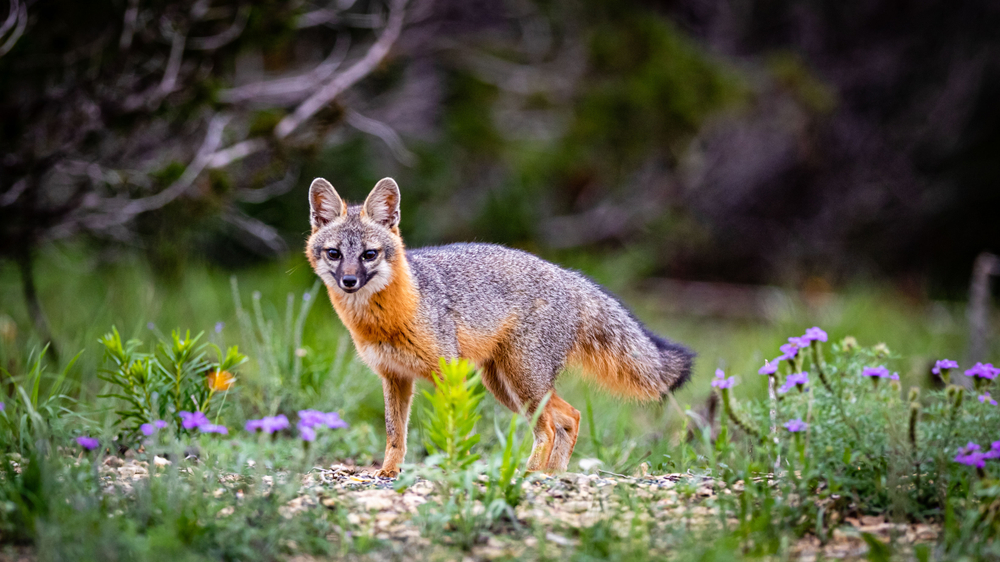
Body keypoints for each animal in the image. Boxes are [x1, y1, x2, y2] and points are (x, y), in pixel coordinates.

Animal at [306, 177, 696, 474]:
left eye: (369, 255)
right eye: (335, 254)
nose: (349, 281)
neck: (385, 320)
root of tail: (568, 275)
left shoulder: (449, 374)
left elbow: (453, 429)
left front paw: (453, 467)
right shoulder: (395, 377)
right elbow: (394, 435)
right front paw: (388, 472)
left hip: (522, 381)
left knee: (550, 427)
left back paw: (531, 473)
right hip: (506, 385)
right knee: (569, 416)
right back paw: (552, 475)